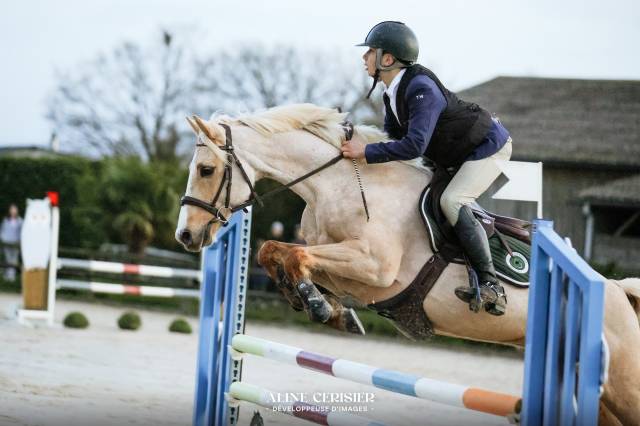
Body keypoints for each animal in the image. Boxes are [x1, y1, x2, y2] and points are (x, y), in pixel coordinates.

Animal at [175, 103, 640, 425]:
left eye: (207, 169)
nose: (186, 236)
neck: (337, 185)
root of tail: (616, 289)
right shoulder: (349, 270)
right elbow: (273, 251)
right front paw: (327, 307)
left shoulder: (375, 270)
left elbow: (296, 255)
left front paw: (316, 302)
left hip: (621, 385)